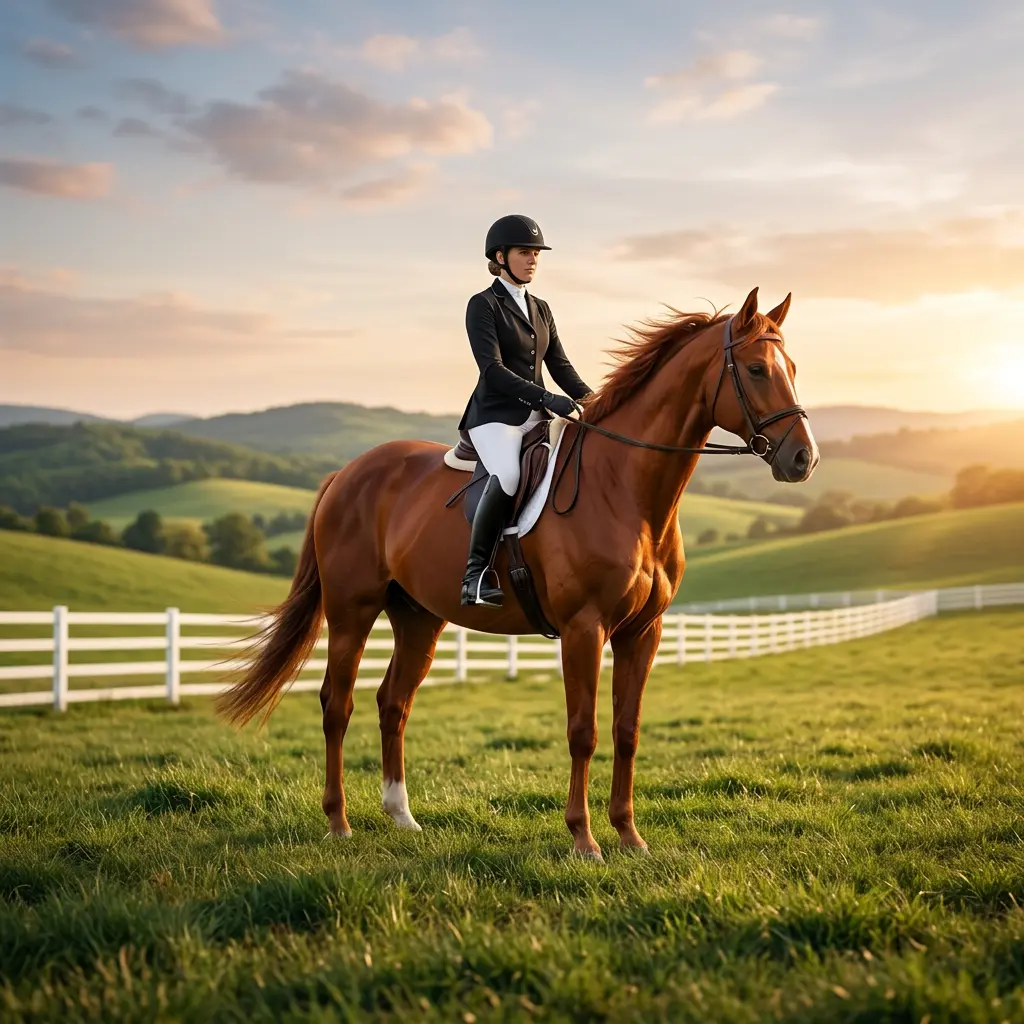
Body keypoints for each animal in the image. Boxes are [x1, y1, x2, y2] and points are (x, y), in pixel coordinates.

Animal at [218, 286, 819, 861]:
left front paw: (629, 836)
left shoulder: (642, 632)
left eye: (793, 368)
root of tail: (346, 473)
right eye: (758, 370)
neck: (623, 489)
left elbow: (626, 730)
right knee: (336, 705)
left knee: (393, 703)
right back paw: (339, 823)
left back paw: (402, 817)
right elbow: (584, 731)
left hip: (418, 619)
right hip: (351, 612)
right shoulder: (583, 628)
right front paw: (584, 839)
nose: (803, 460)